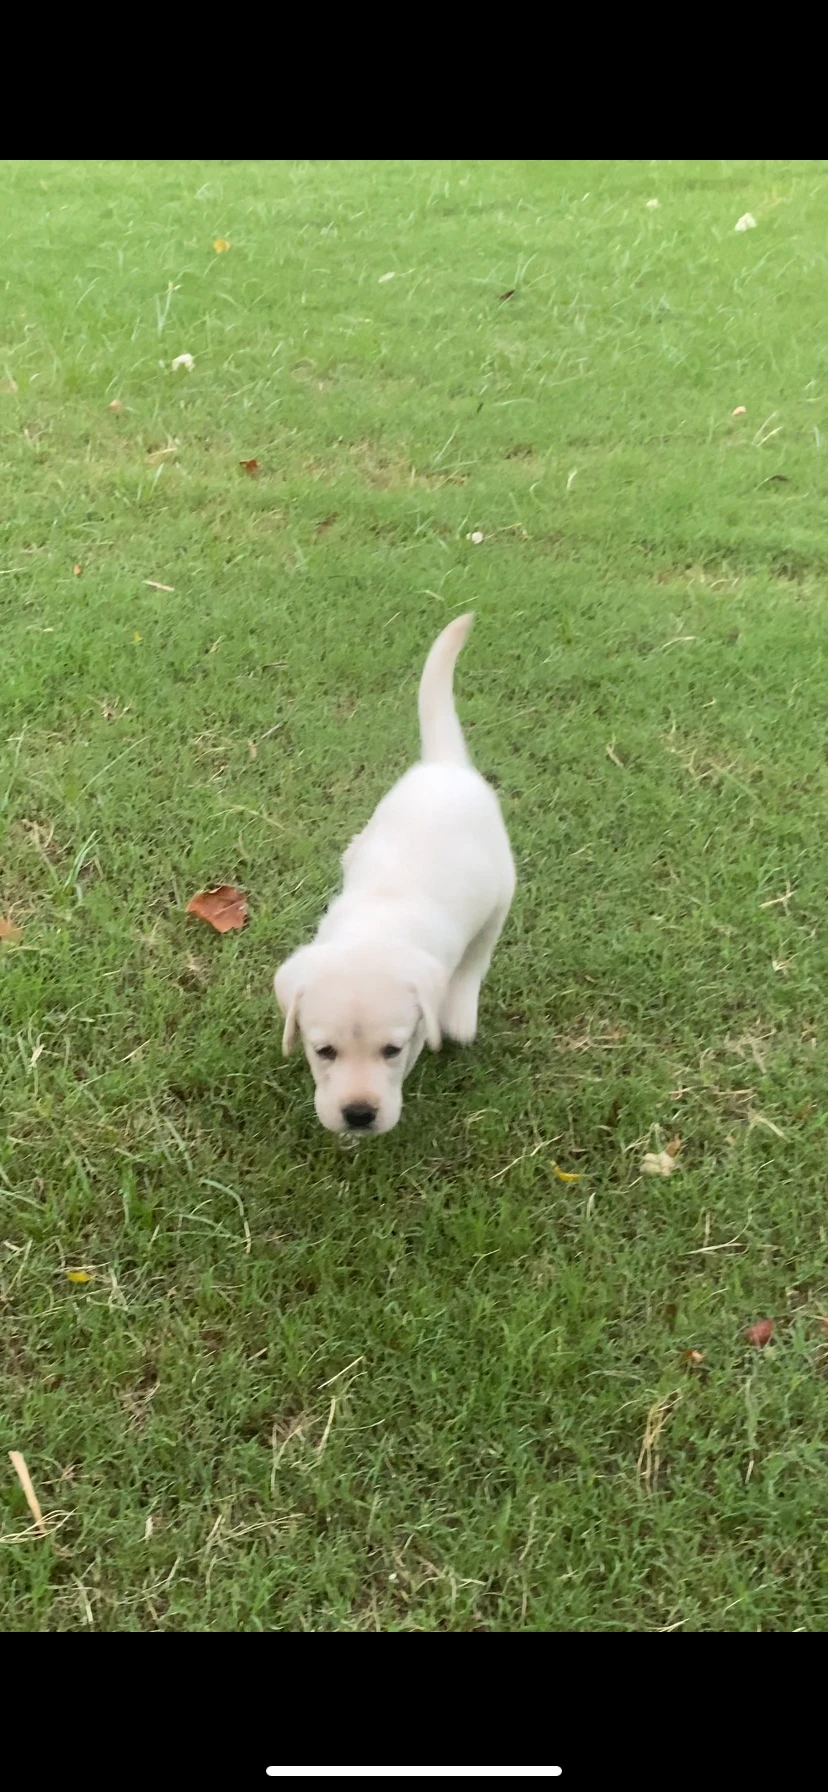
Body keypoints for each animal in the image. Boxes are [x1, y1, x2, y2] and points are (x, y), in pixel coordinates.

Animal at [274, 616, 512, 1132]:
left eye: (392, 1050)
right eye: (324, 1050)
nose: (359, 1115)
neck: (375, 931)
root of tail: (446, 764)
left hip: (502, 892)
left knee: (479, 955)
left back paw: (461, 1011)